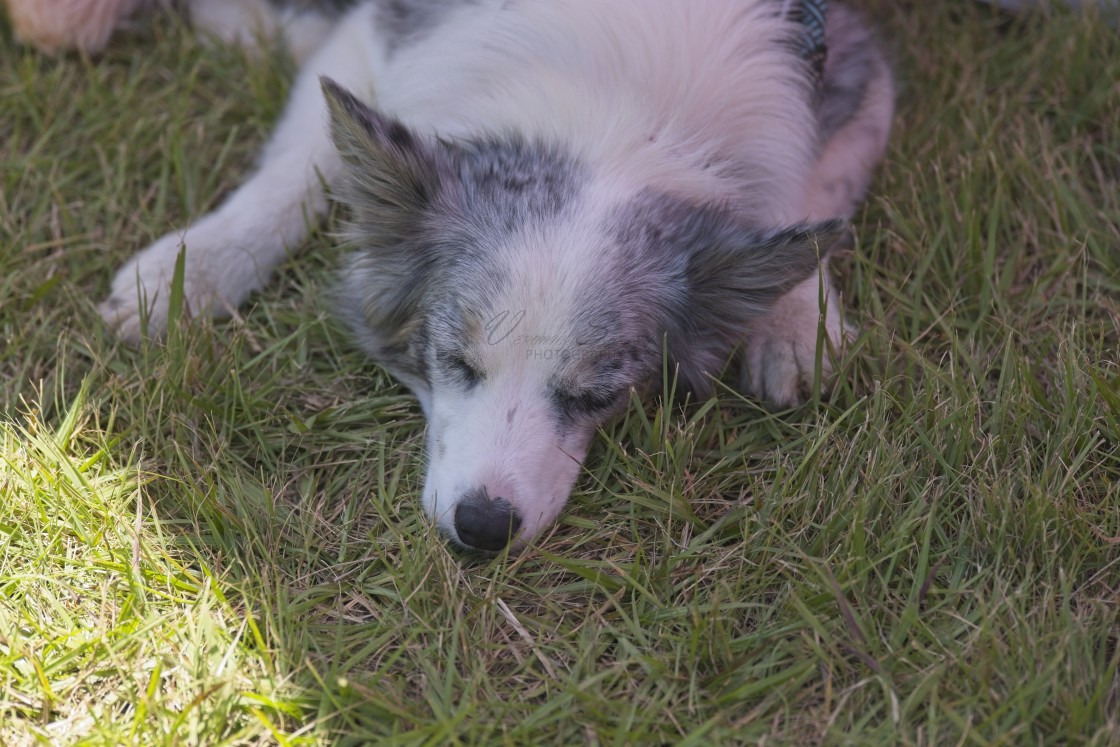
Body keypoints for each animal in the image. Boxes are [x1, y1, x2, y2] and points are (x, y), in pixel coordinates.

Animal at [100, 0, 896, 548]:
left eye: (598, 395)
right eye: (453, 360)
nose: (482, 529)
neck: (611, 112)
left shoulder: (853, 68)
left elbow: (809, 194)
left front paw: (797, 320)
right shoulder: (379, 36)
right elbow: (294, 174)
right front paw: (189, 273)